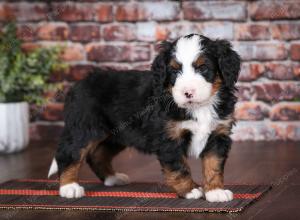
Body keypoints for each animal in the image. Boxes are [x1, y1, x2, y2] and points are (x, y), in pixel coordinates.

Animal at [48, 34, 241, 203]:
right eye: (174, 70)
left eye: (203, 68)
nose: (188, 93)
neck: (199, 107)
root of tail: (78, 84)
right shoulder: (169, 138)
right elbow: (179, 167)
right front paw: (190, 190)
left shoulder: (218, 134)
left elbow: (213, 165)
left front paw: (215, 191)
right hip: (85, 128)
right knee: (68, 153)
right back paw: (69, 187)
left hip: (117, 134)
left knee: (98, 154)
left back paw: (113, 178)